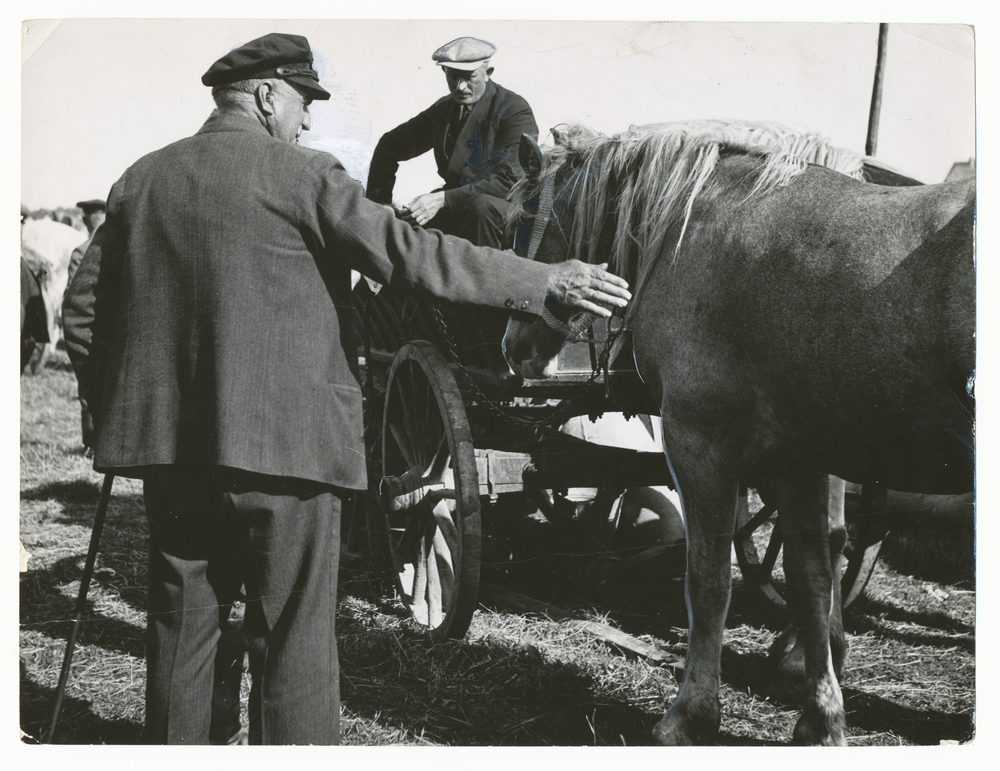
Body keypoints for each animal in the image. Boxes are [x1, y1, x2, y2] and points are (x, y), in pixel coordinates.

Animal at [504, 122, 972, 748]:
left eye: (518, 221)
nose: (513, 348)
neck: (697, 224)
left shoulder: (700, 444)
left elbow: (708, 579)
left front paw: (690, 715)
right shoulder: (800, 458)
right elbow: (810, 577)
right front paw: (820, 718)